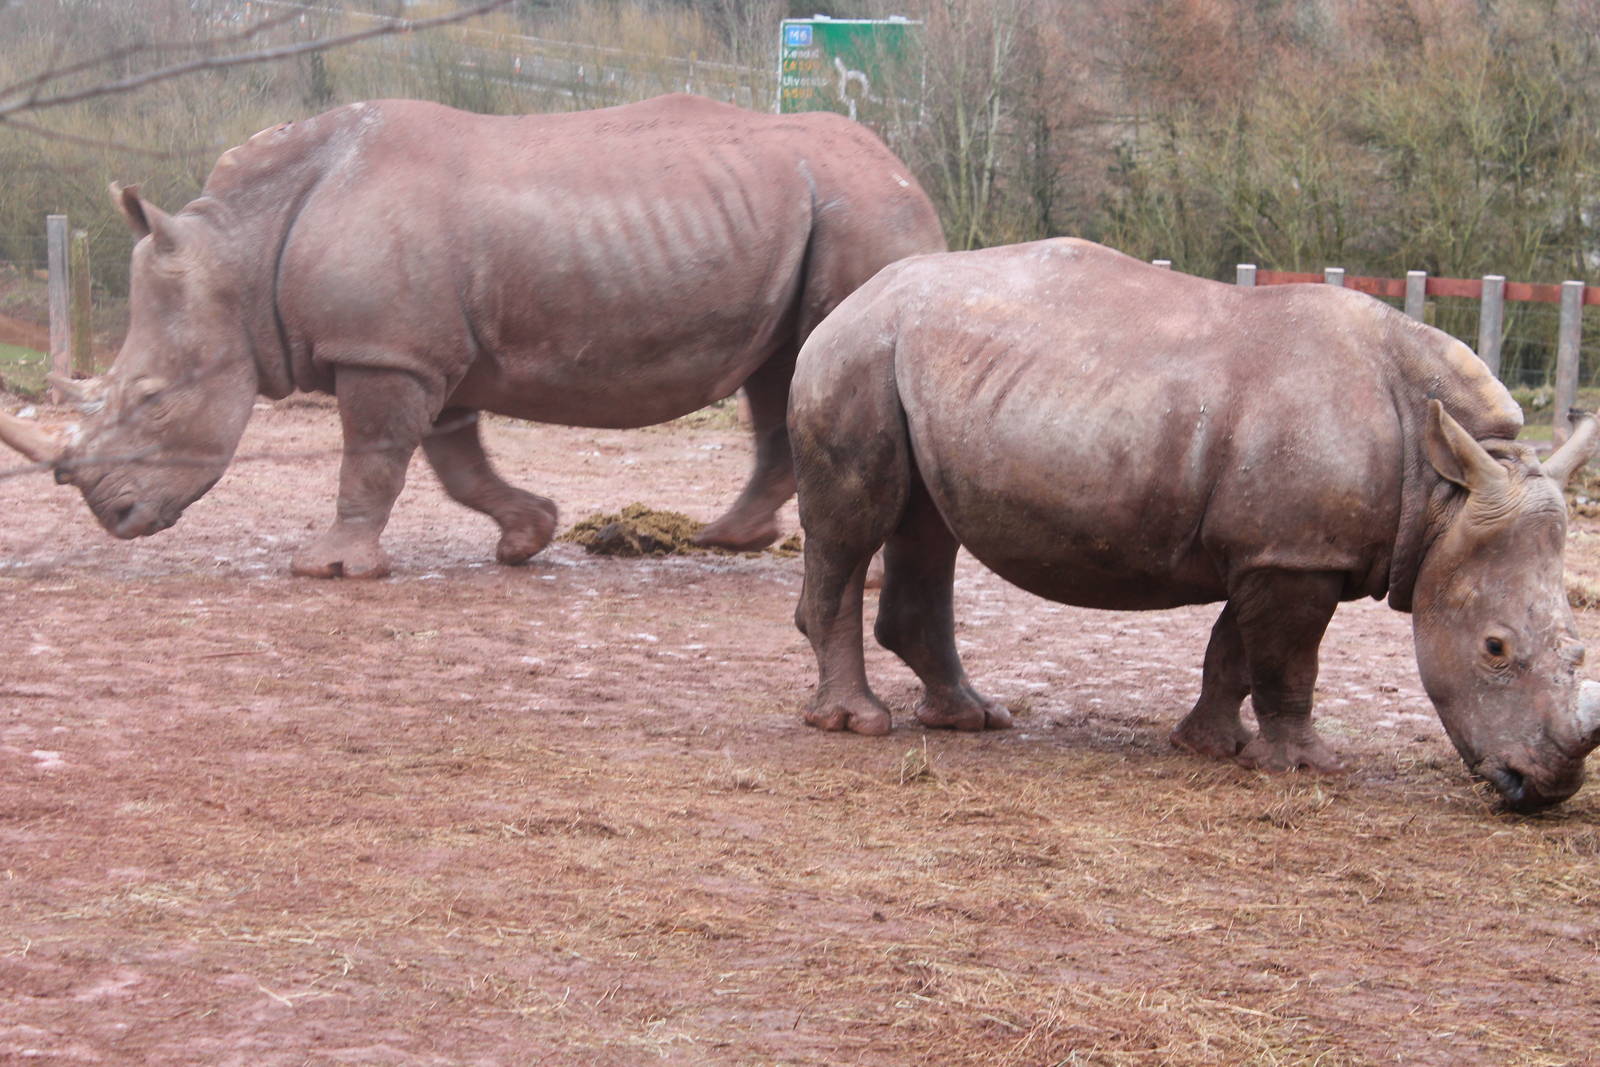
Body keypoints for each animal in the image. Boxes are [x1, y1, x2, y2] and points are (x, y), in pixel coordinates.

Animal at [0, 94, 944, 577]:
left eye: (153, 400)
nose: (116, 517)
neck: (245, 243)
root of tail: (906, 165)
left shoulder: (384, 352)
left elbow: (373, 455)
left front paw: (328, 566)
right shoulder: (420, 351)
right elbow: (453, 459)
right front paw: (527, 536)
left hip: (863, 213)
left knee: (813, 363)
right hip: (820, 209)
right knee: (780, 370)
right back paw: (730, 539)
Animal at [790, 238, 1600, 812]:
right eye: (1495, 648)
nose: (1544, 791)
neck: (1441, 496)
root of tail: (853, 298)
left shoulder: (1272, 549)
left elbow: (1235, 651)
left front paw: (1209, 747)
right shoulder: (1296, 555)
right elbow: (1289, 661)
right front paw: (1307, 766)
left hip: (909, 363)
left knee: (928, 528)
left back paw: (972, 719)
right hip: (858, 354)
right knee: (854, 529)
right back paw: (857, 724)